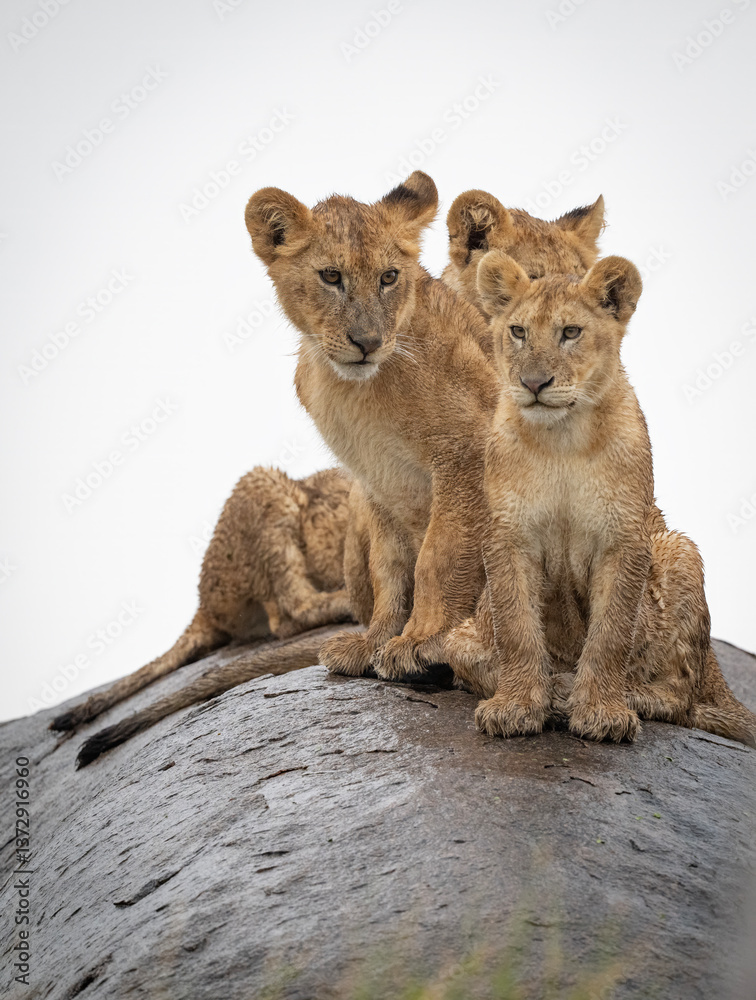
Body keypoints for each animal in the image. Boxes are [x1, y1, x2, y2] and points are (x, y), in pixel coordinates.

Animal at [444, 251, 756, 748]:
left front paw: (602, 712)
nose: (534, 383)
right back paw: (554, 689)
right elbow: (516, 627)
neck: (562, 439)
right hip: (460, 633)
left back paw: (619, 694)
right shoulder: (508, 536)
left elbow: (611, 632)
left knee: (683, 696)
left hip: (678, 548)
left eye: (571, 332)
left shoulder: (625, 539)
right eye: (518, 331)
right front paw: (517, 705)